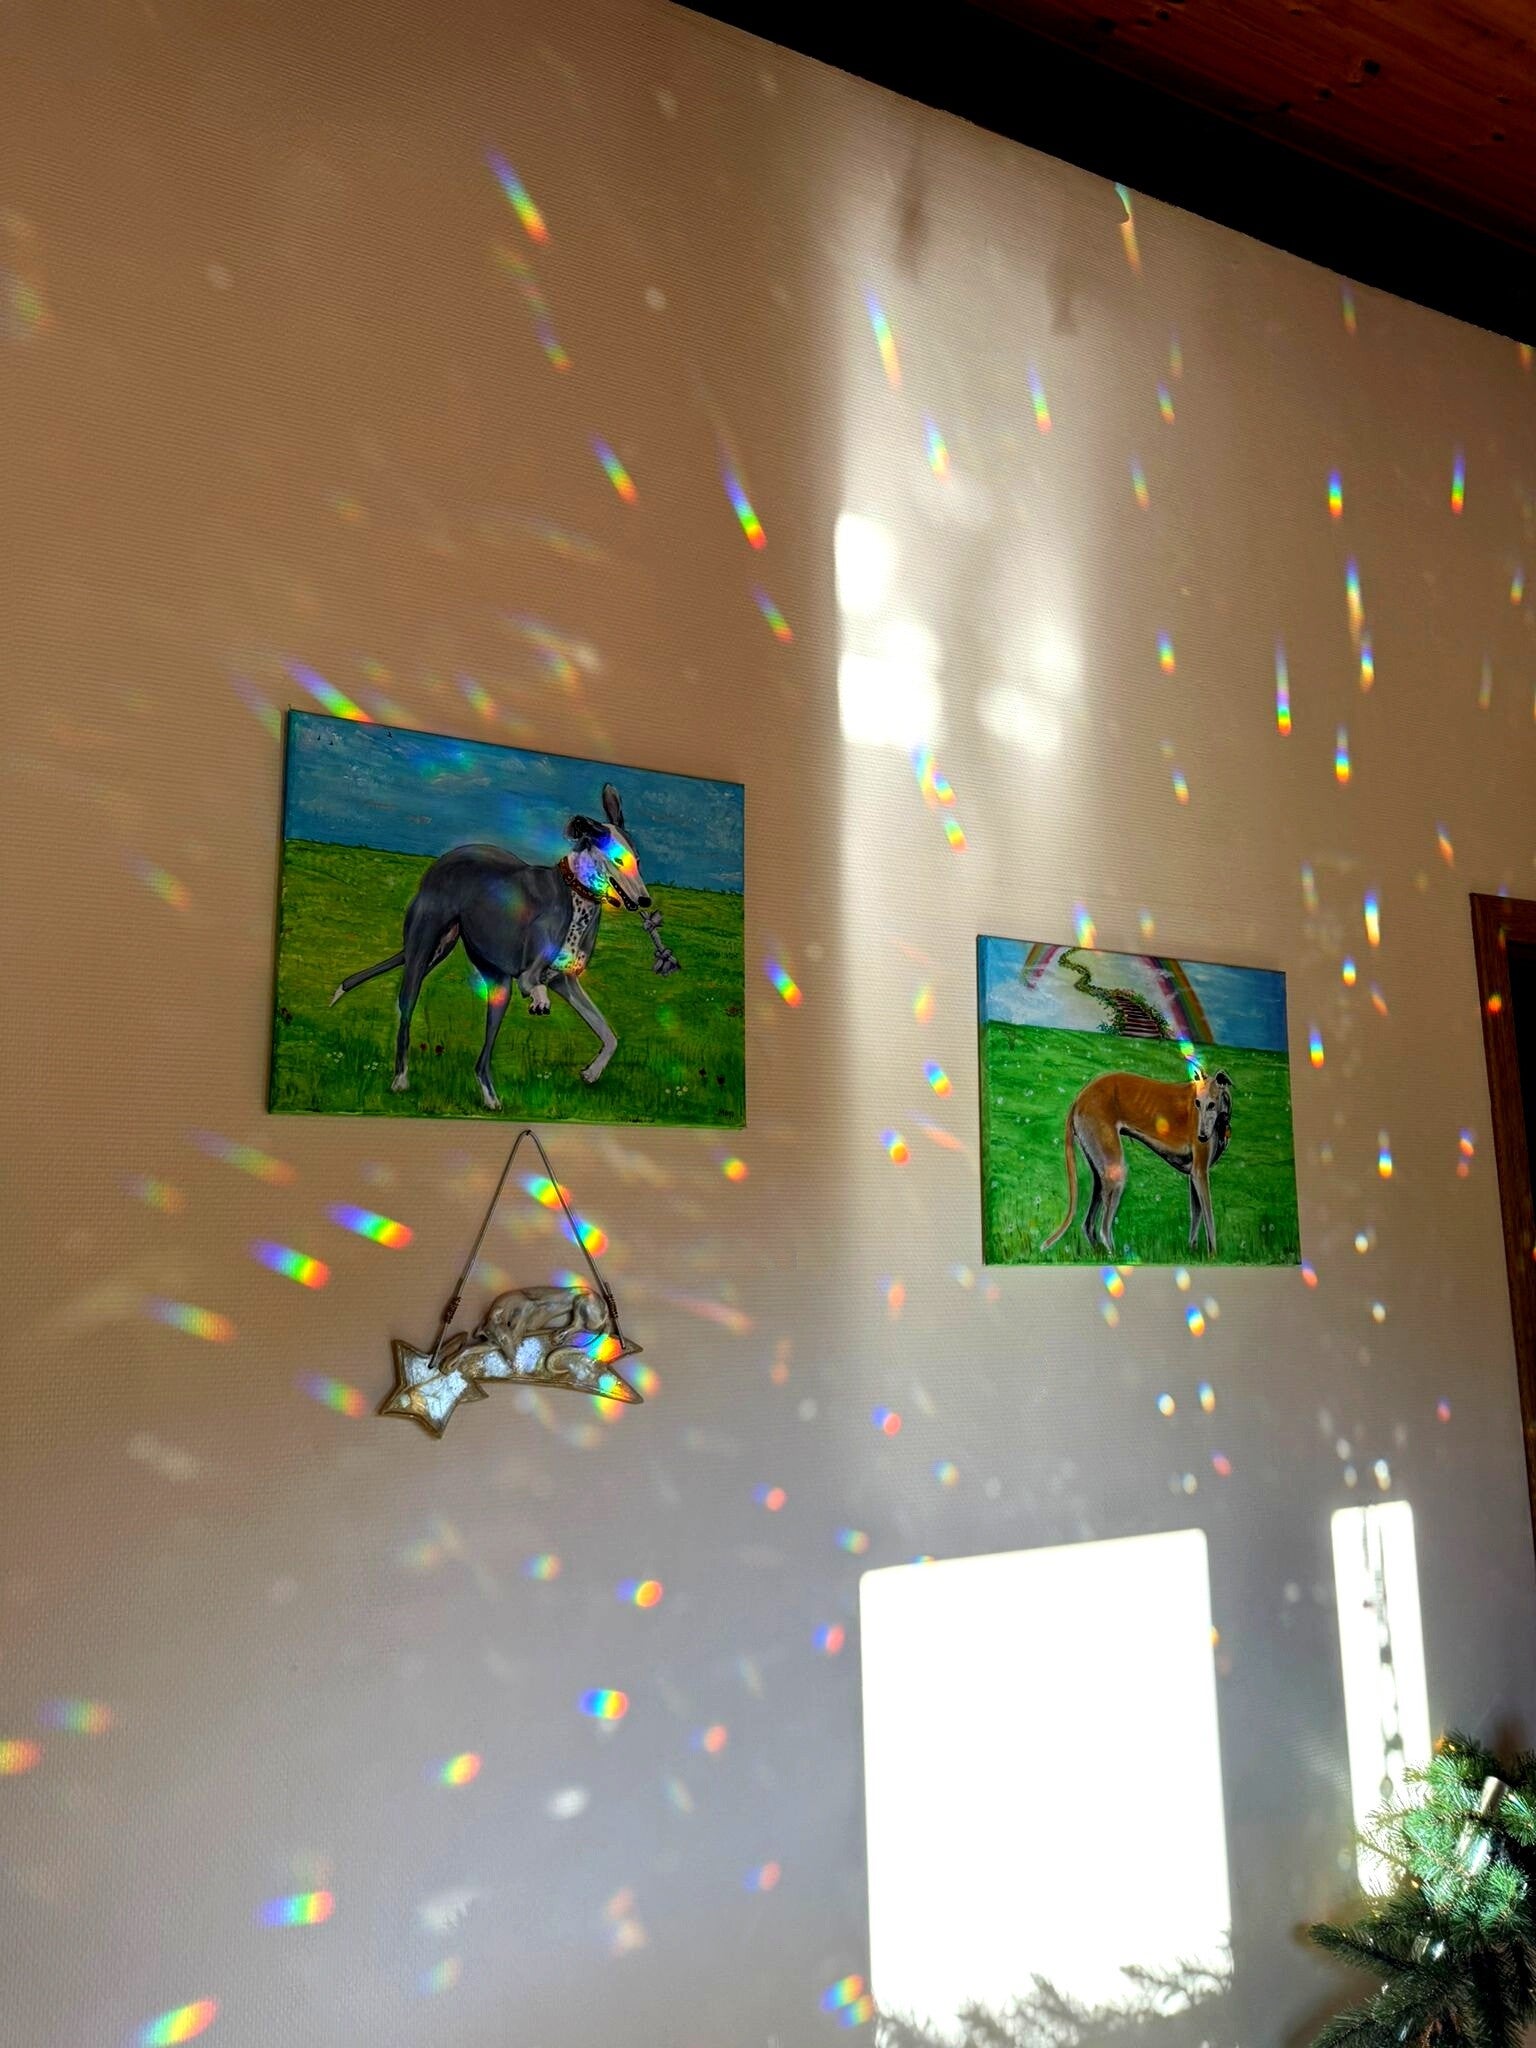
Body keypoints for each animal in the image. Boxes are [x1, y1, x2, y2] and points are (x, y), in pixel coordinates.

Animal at [329, 784, 677, 1109]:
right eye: (618, 860)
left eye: (638, 861)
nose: (645, 901)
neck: (577, 897)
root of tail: (444, 859)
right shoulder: (530, 973)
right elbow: (533, 983)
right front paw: (540, 1002)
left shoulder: (565, 981)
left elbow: (608, 1034)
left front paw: (591, 1073)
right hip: (421, 954)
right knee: (405, 1013)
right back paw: (400, 1079)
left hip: (492, 982)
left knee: (481, 1059)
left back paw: (490, 1098)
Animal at [1041, 1067, 1233, 1258]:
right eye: (1197, 1103)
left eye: (1211, 1105)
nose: (1201, 1137)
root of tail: (1079, 1098)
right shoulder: (1200, 1173)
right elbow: (1209, 1217)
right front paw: (1213, 1255)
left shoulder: (1193, 1175)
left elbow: (1196, 1214)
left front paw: (1193, 1251)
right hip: (1116, 1171)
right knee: (1104, 1229)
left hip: (1099, 1173)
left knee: (1088, 1225)